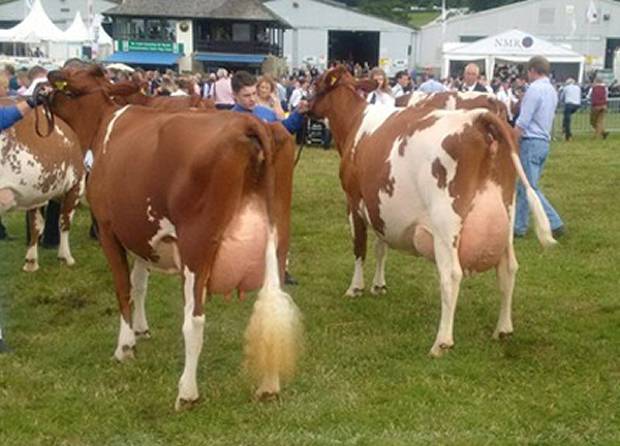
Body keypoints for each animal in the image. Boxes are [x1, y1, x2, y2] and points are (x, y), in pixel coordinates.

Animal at [46, 64, 302, 410]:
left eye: (69, 77)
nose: (43, 88)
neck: (102, 123)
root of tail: (250, 122)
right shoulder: (141, 234)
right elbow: (140, 284)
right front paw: (142, 330)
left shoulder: (109, 229)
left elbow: (123, 289)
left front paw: (125, 346)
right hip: (277, 241)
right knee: (273, 304)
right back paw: (269, 385)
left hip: (197, 245)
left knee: (194, 320)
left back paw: (187, 391)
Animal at [310, 66, 556, 358]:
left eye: (316, 85)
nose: (303, 108)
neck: (355, 123)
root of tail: (479, 119)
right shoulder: (379, 205)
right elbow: (382, 246)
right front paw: (378, 285)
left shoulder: (354, 201)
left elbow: (360, 248)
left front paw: (355, 288)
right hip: (506, 214)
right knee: (508, 269)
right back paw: (503, 329)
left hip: (445, 224)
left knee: (451, 275)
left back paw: (442, 342)